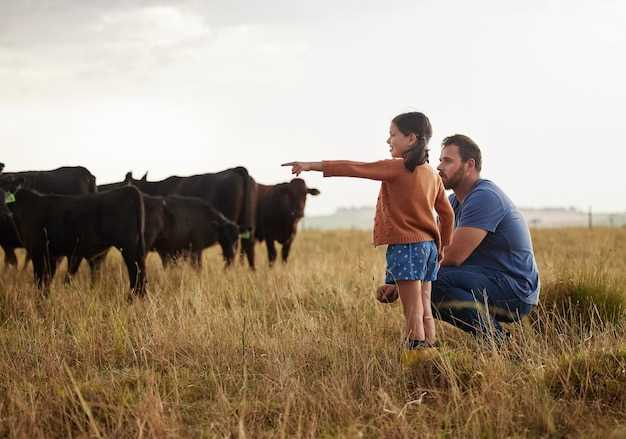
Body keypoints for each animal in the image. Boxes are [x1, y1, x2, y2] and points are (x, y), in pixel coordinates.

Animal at [0, 186, 147, 300]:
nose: (5, 214)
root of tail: (129, 189)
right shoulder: (52, 254)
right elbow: (47, 280)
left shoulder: (38, 251)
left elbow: (40, 280)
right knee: (141, 274)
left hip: (128, 247)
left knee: (136, 274)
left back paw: (131, 299)